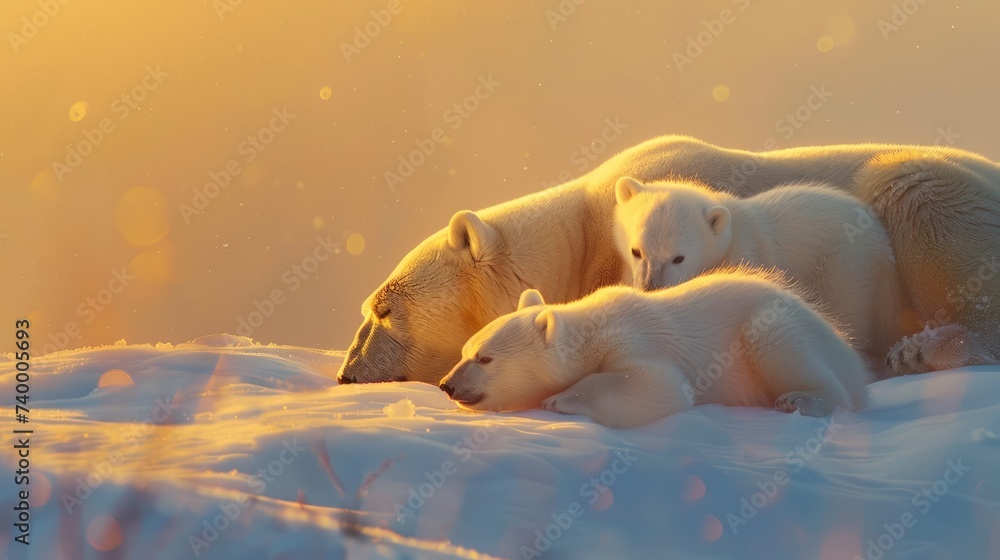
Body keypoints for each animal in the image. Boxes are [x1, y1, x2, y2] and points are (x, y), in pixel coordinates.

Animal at [437, 268, 872, 429]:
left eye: (485, 358)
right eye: (462, 351)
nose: (447, 385)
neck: (592, 326)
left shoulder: (632, 336)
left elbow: (658, 383)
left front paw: (560, 399)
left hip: (772, 327)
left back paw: (800, 400)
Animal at [613, 177, 913, 373]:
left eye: (678, 258)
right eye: (636, 251)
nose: (650, 287)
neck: (731, 232)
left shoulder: (747, 256)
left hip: (847, 263)